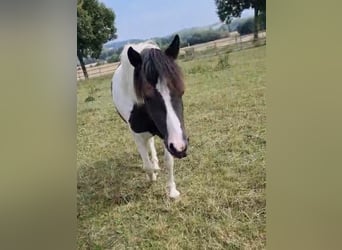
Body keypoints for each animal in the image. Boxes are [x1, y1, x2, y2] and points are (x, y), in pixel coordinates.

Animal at [111, 34, 187, 199]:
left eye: (181, 91)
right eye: (147, 96)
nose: (180, 148)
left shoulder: (166, 134)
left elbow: (169, 161)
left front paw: (172, 191)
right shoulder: (137, 134)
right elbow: (146, 165)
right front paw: (152, 177)